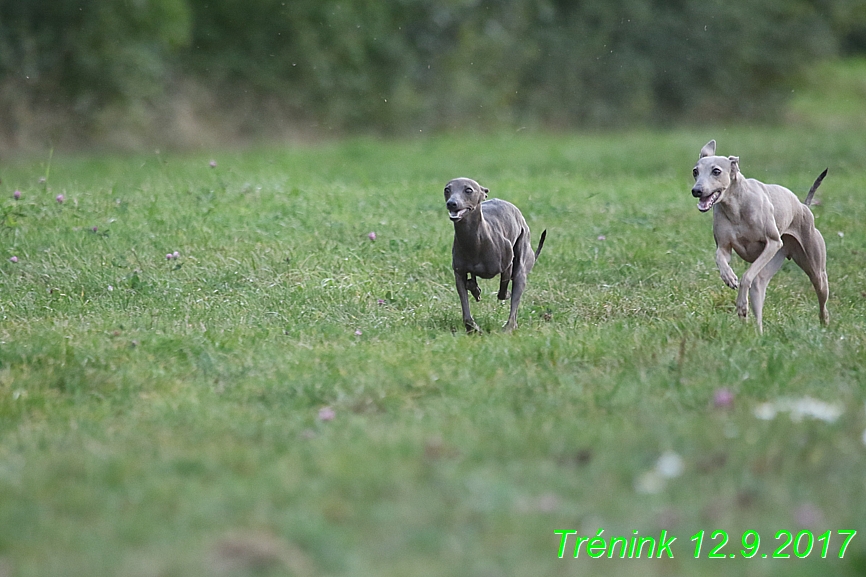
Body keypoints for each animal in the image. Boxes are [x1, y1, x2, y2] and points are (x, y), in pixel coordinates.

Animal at [442, 177, 544, 332]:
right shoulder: (459, 273)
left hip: (521, 259)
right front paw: (473, 328)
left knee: (516, 291)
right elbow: (465, 302)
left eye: (468, 190)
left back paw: (509, 327)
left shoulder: (507, 266)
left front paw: (505, 294)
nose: (451, 203)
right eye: (447, 189)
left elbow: (502, 292)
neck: (475, 241)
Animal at [692, 139, 828, 332]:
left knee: (821, 298)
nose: (696, 190)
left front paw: (741, 301)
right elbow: (719, 257)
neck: (736, 206)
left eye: (716, 171)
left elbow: (746, 276)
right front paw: (728, 277)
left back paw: (825, 325)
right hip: (770, 267)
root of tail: (803, 206)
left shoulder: (773, 243)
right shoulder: (724, 247)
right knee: (758, 287)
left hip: (815, 269)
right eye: (695, 171)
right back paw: (756, 333)